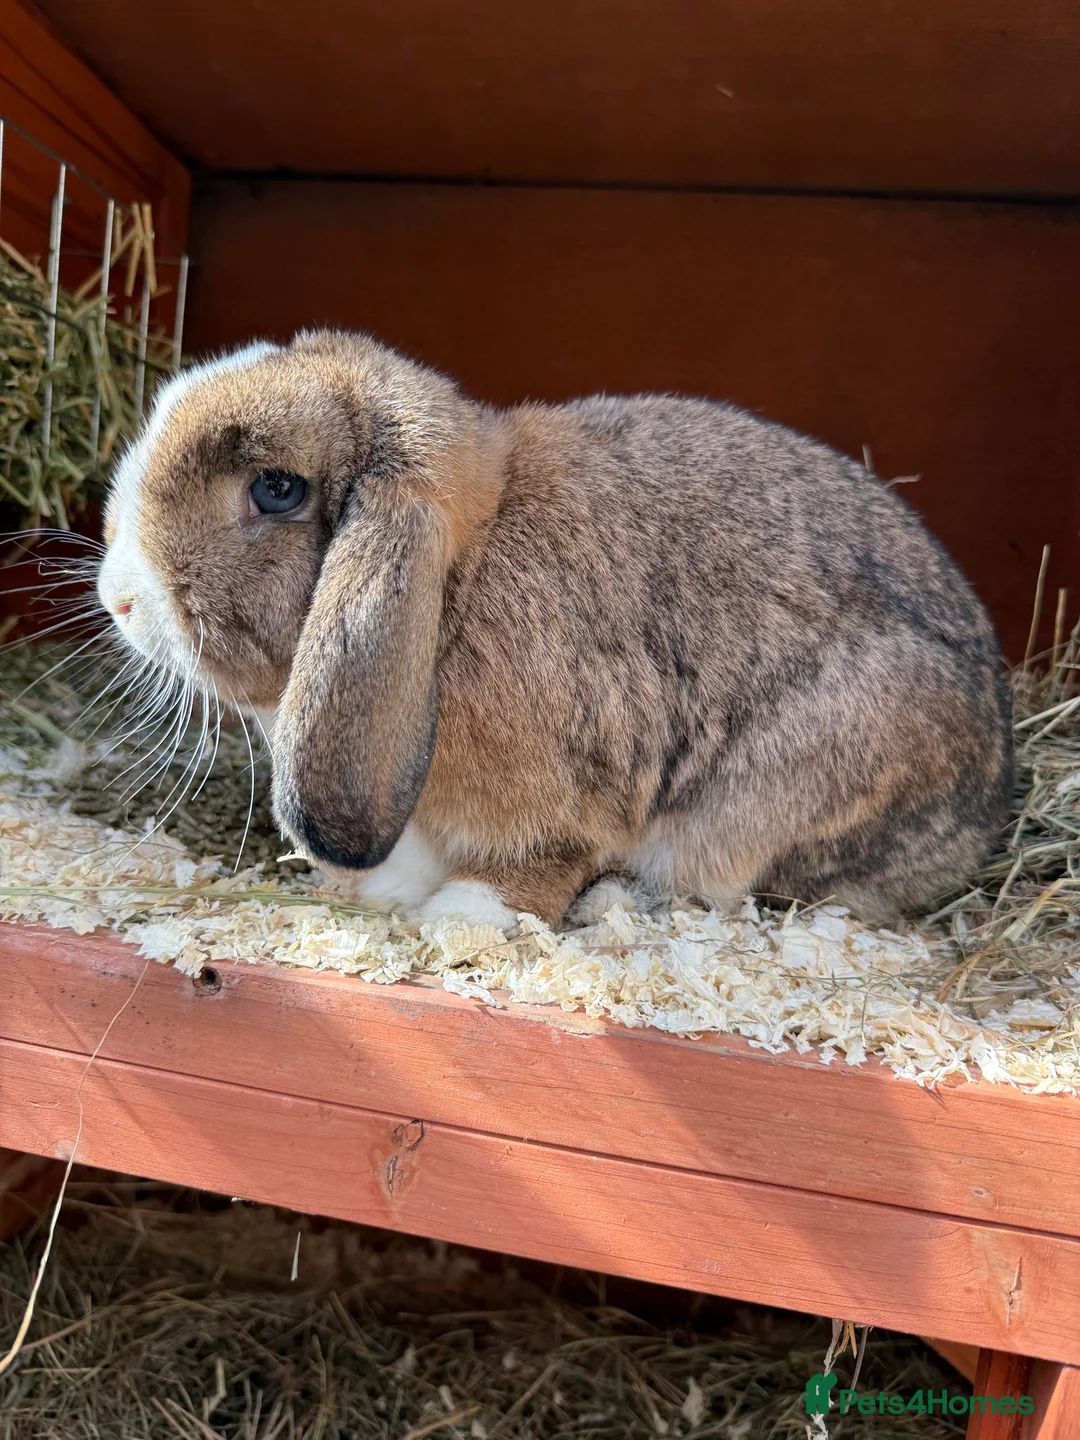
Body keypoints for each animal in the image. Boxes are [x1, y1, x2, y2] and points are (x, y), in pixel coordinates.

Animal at [97, 329, 1012, 932]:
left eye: (278, 488)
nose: (120, 600)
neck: (456, 591)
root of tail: (984, 821)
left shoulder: (568, 806)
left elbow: (533, 865)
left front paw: (460, 918)